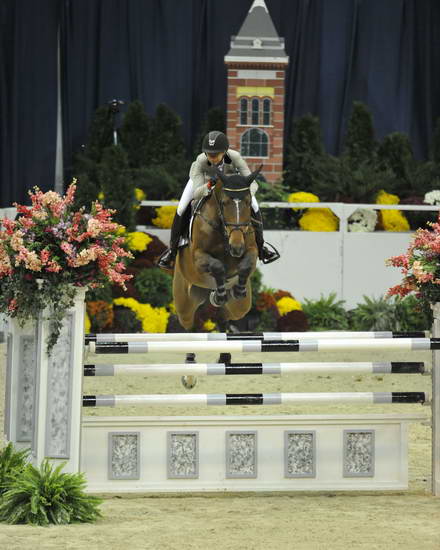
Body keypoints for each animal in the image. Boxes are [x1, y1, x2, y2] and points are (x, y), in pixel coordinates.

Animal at [173, 166, 262, 334]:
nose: (236, 247)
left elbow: (246, 264)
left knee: (227, 315)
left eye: (248, 203)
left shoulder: (251, 250)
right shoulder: (198, 257)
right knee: (187, 322)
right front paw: (220, 294)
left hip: (240, 307)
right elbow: (217, 266)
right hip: (184, 303)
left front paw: (238, 290)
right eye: (224, 203)